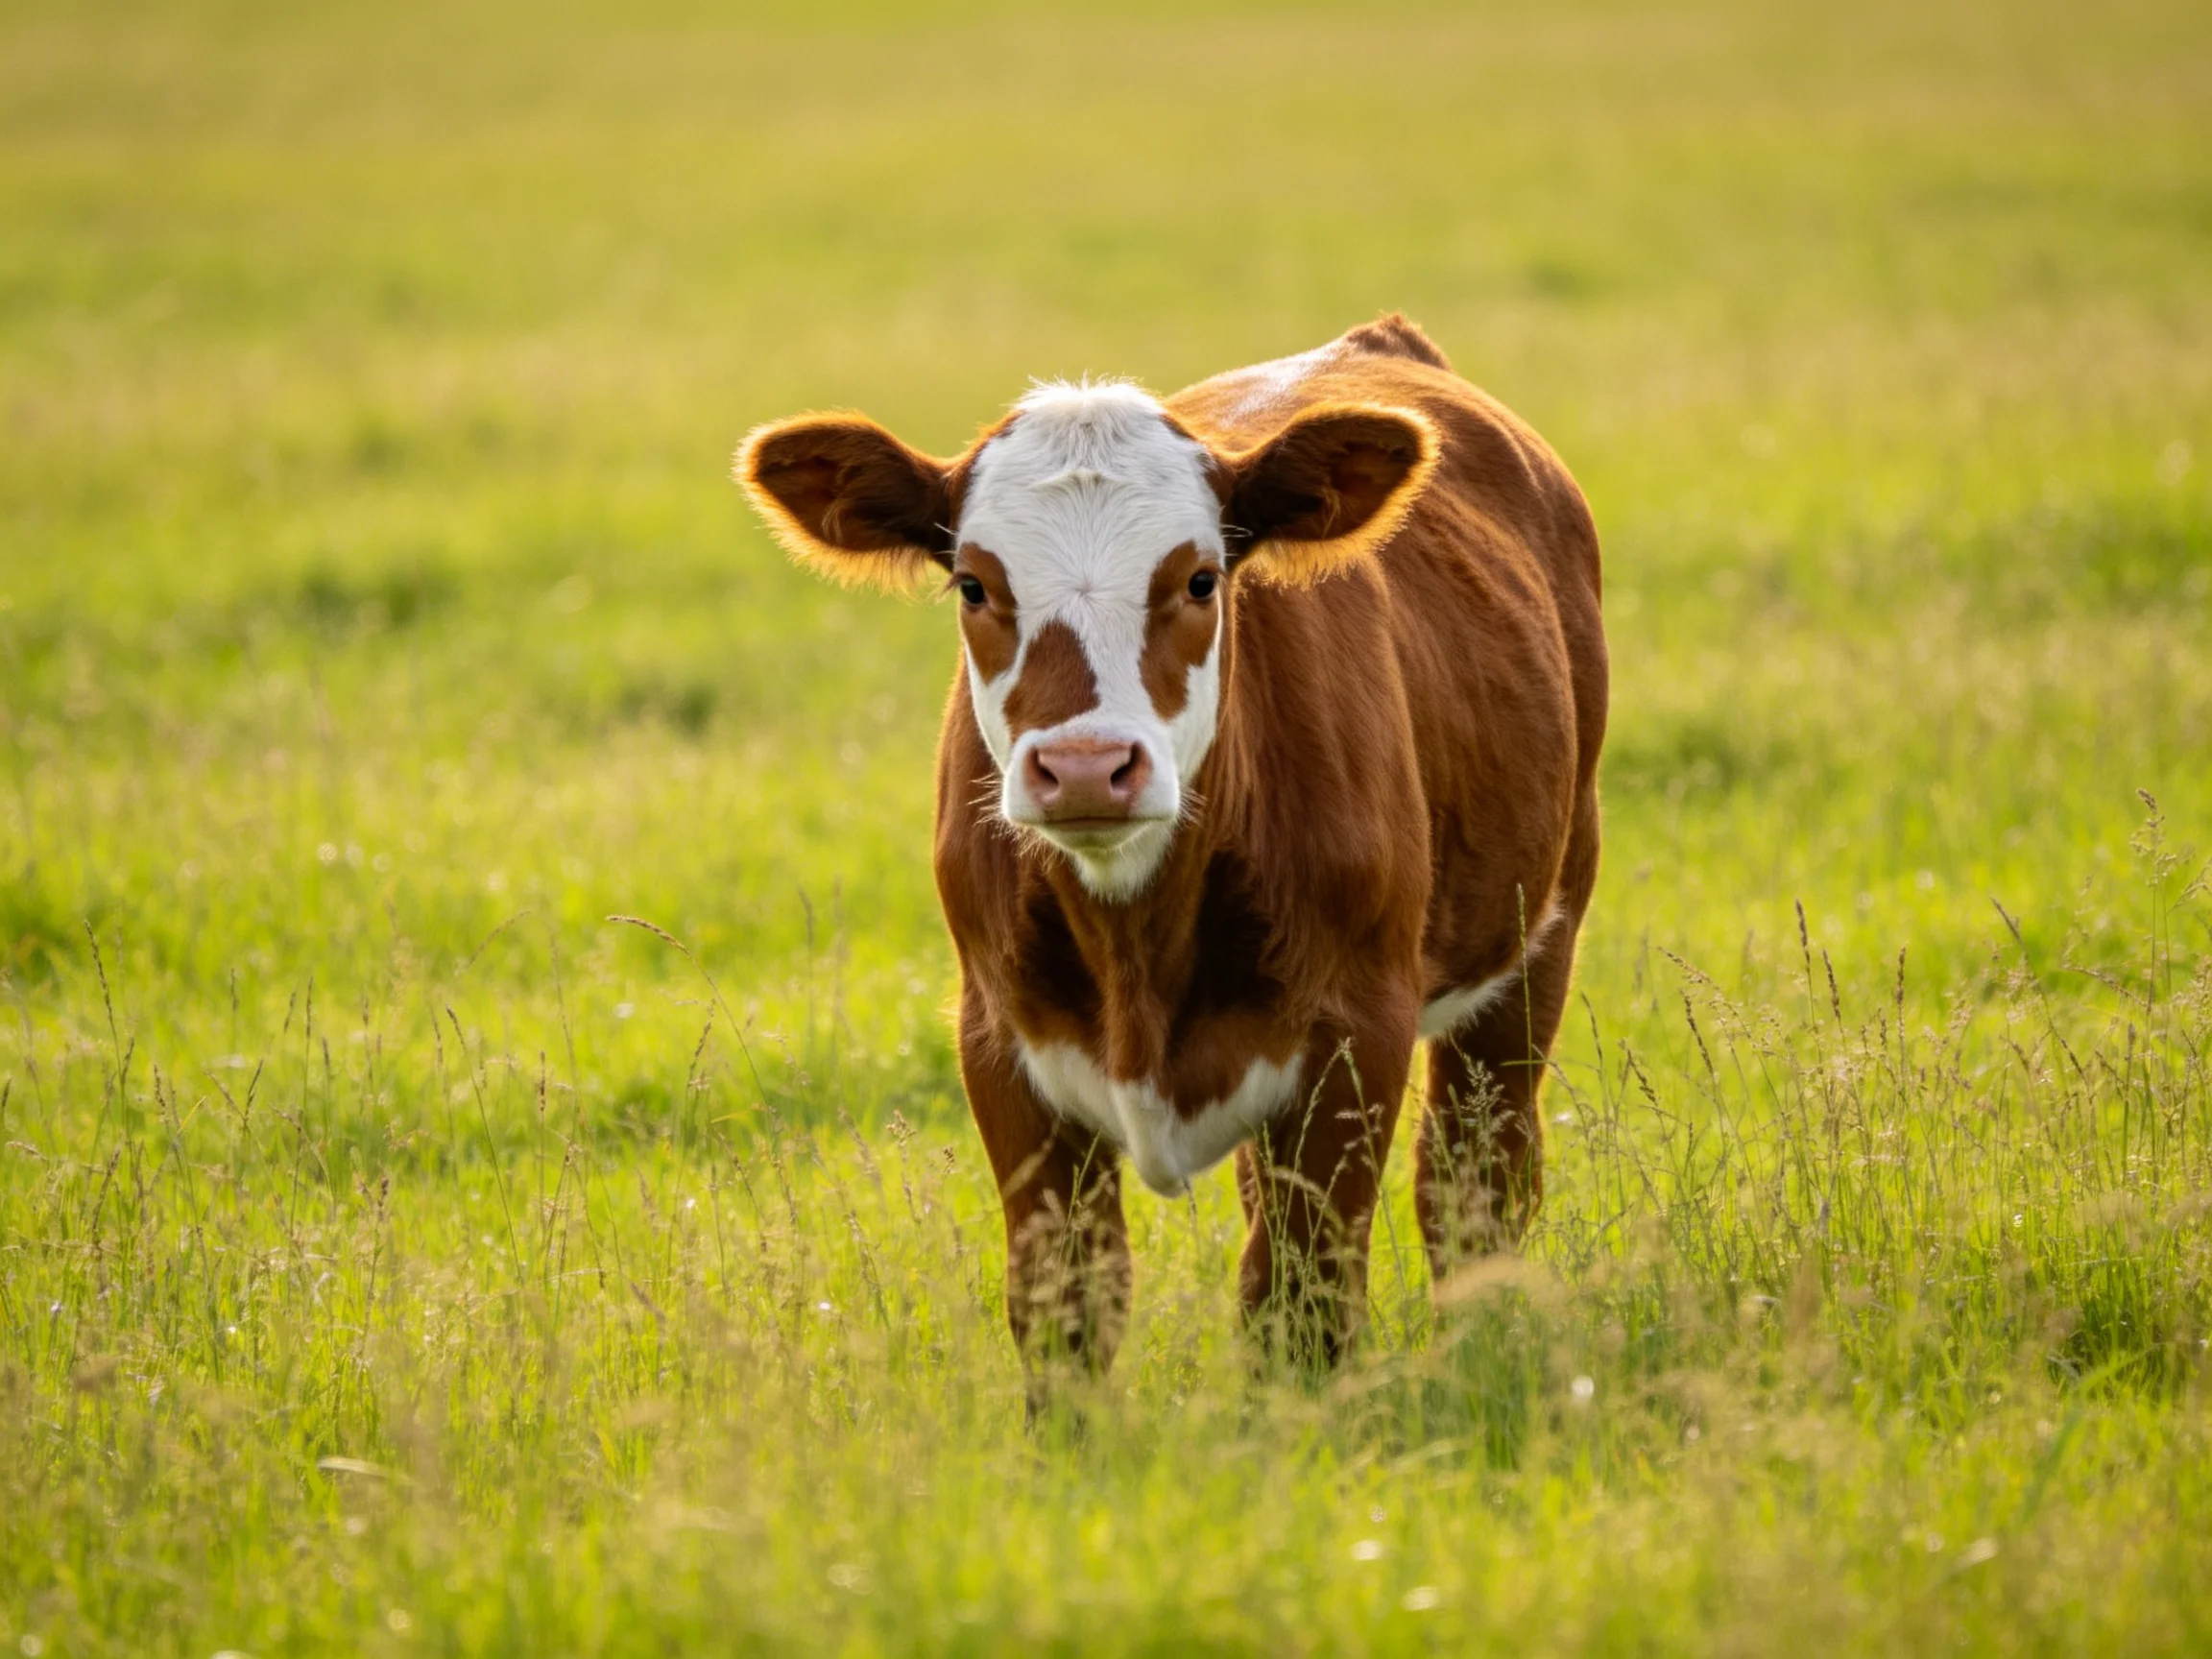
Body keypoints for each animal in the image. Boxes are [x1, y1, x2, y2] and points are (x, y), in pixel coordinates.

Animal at [738, 314, 1606, 1382]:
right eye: (975, 585)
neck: (1137, 945)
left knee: (1474, 1182)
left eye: (1199, 579)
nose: (1084, 767)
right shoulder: (1000, 1040)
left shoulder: (1357, 1030)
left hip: (1539, 937)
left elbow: (1302, 1302)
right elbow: (1067, 1304)